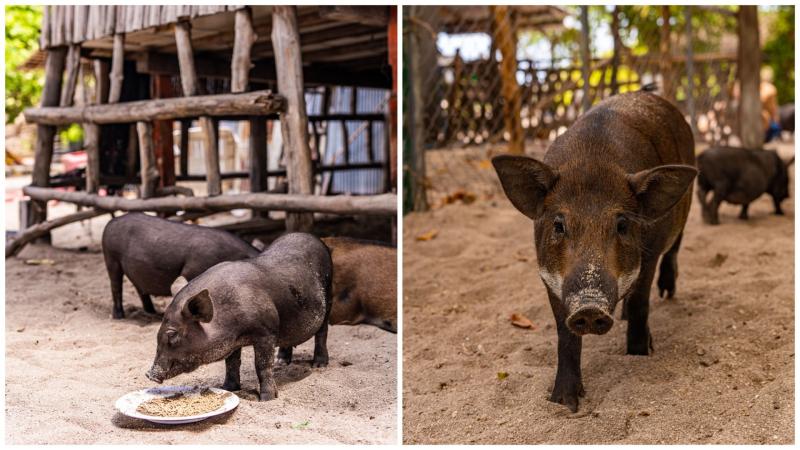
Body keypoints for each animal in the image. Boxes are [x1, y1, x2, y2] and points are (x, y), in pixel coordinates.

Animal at [102, 213, 259, 319]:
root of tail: (110, 222)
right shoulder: (191, 270)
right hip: (111, 258)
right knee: (116, 286)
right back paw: (119, 316)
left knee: (139, 288)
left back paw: (153, 312)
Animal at [145, 232, 332, 401]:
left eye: (172, 334)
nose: (149, 374)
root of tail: (312, 237)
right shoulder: (233, 342)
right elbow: (232, 364)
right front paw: (228, 388)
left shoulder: (266, 332)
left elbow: (262, 365)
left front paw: (267, 398)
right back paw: (281, 362)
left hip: (329, 293)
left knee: (322, 333)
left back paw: (319, 364)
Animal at [493, 91, 697, 412]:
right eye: (559, 224)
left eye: (622, 224)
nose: (589, 307)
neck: (593, 160)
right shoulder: (549, 277)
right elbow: (565, 334)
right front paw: (564, 402)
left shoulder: (649, 255)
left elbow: (641, 303)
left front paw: (640, 355)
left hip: (683, 213)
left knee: (674, 250)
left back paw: (666, 294)